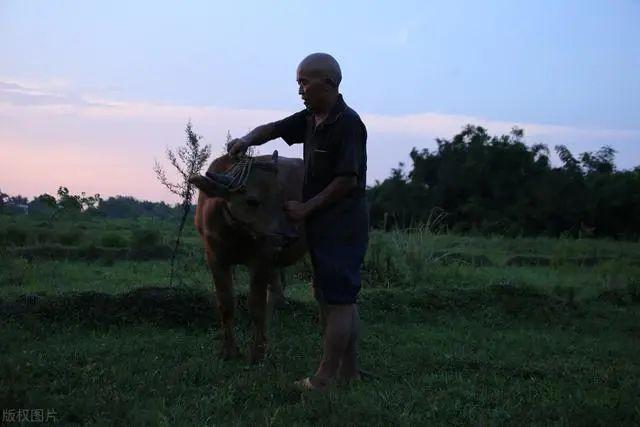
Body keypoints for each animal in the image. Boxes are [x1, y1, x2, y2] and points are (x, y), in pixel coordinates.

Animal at [189, 150, 306, 364]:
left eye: (280, 196)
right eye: (252, 201)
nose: (290, 236)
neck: (234, 233)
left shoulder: (261, 259)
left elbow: (256, 305)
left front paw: (256, 354)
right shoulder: (215, 259)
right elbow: (226, 304)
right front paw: (229, 351)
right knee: (275, 293)